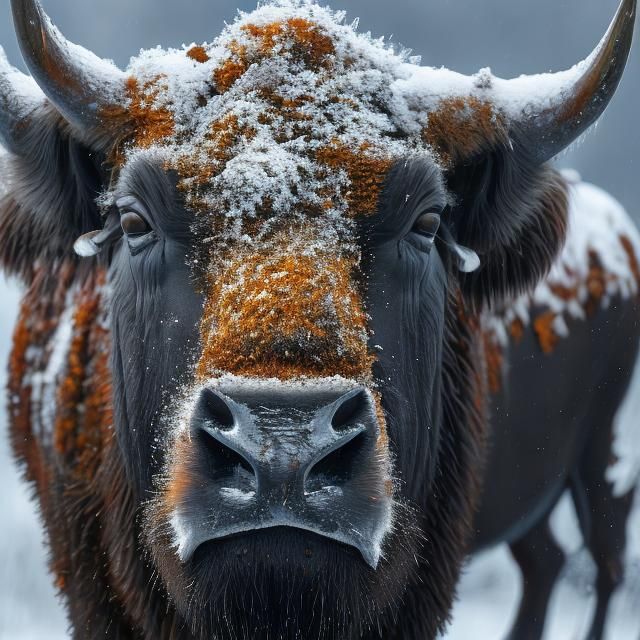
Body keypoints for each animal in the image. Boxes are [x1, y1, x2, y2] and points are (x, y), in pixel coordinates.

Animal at [0, 0, 637, 638]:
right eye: (135, 221)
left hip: (603, 462)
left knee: (603, 565)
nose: (283, 444)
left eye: (427, 222)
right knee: (546, 559)